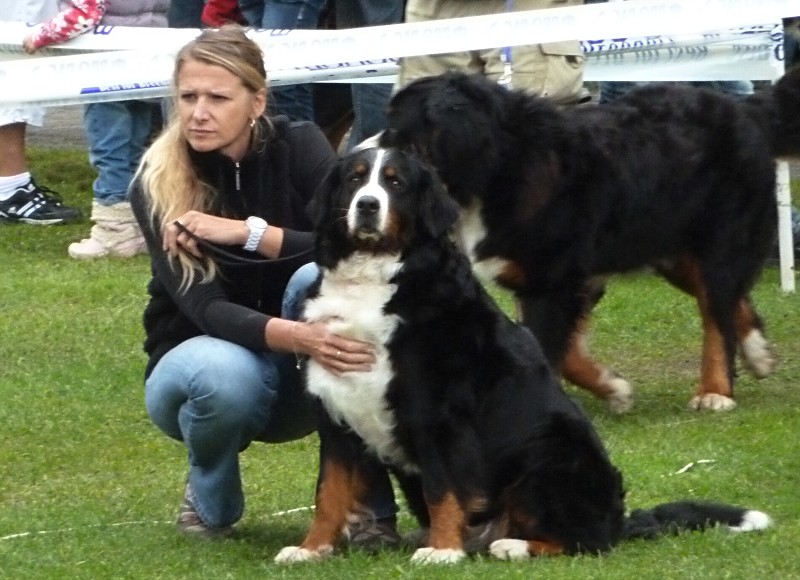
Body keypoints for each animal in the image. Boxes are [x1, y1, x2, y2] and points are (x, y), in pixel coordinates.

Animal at [274, 146, 768, 568]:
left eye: (395, 183)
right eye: (355, 179)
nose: (367, 206)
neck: (374, 278)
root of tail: (618, 517)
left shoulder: (437, 413)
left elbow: (443, 487)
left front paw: (443, 550)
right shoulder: (336, 415)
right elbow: (329, 493)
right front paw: (311, 549)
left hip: (547, 459)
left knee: (585, 540)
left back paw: (510, 545)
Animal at [378, 67, 800, 412]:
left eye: (397, 132)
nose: (366, 163)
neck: (501, 168)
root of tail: (743, 109)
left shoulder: (551, 282)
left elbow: (549, 349)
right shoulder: (559, 282)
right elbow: (565, 354)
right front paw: (614, 389)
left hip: (718, 245)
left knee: (717, 314)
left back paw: (716, 391)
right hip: (670, 252)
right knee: (729, 301)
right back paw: (758, 353)